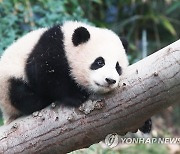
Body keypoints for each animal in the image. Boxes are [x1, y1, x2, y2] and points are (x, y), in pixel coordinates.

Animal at [0, 20, 151, 133]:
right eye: (99, 62)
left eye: (117, 67)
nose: (110, 80)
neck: (67, 43)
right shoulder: (50, 49)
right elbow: (45, 76)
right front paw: (76, 96)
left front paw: (146, 123)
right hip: (8, 82)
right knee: (20, 94)